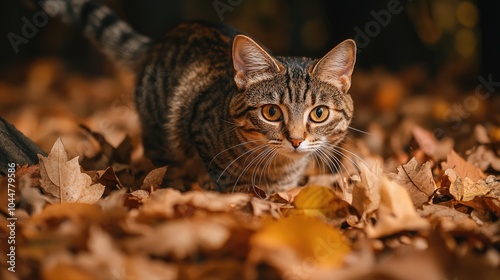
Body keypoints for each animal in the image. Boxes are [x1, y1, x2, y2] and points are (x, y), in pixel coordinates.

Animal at [42, 0, 356, 194]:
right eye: (271, 112)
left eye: (319, 113)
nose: (296, 140)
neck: (278, 167)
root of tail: (158, 41)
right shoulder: (201, 134)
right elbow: (230, 183)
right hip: (162, 139)